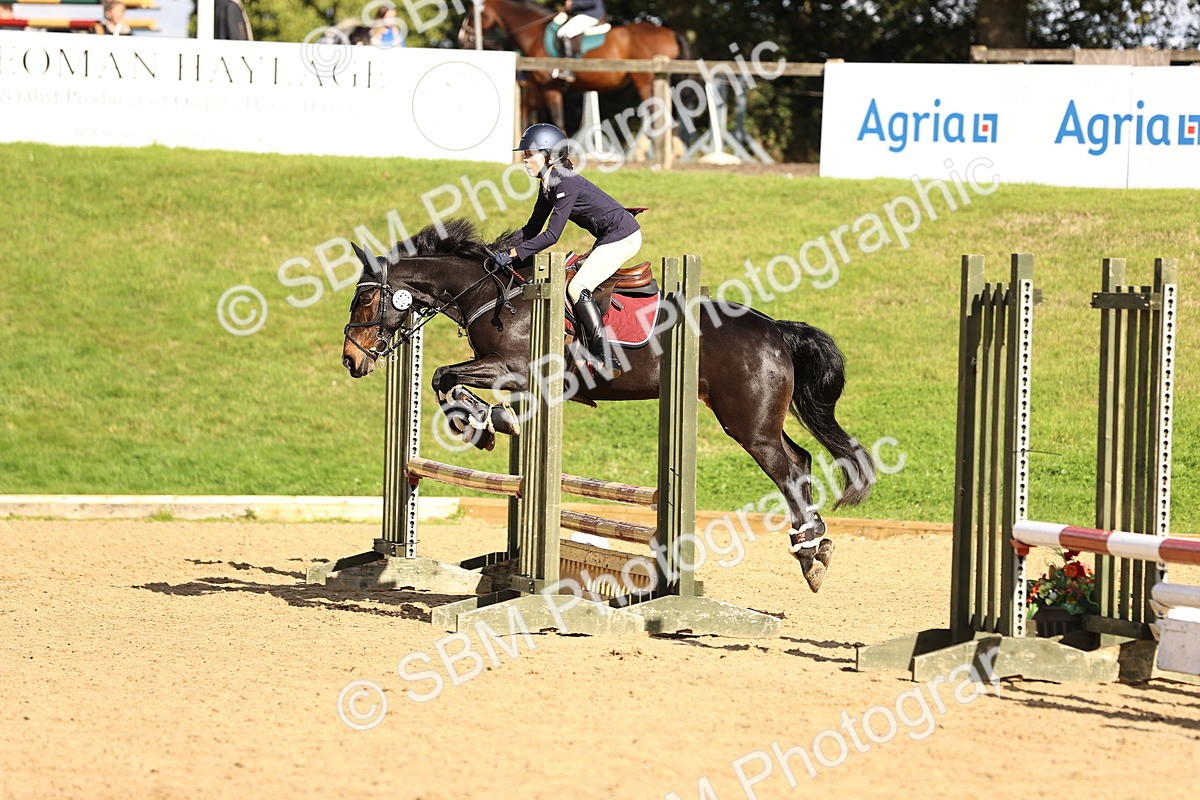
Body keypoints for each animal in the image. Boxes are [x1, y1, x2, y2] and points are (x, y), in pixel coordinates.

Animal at [340, 219, 875, 593]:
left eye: (364, 301)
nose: (351, 360)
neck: (493, 296)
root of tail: (775, 330)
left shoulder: (516, 369)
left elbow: (444, 376)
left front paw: (487, 422)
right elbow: (444, 380)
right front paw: (488, 422)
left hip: (747, 423)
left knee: (788, 469)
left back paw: (811, 555)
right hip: (755, 418)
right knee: (801, 459)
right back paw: (814, 546)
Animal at [456, 0, 688, 135]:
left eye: (471, 13)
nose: (462, 39)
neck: (534, 33)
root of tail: (669, 32)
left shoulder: (549, 88)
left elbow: (557, 119)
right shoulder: (539, 88)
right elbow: (528, 113)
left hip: (645, 81)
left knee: (656, 112)